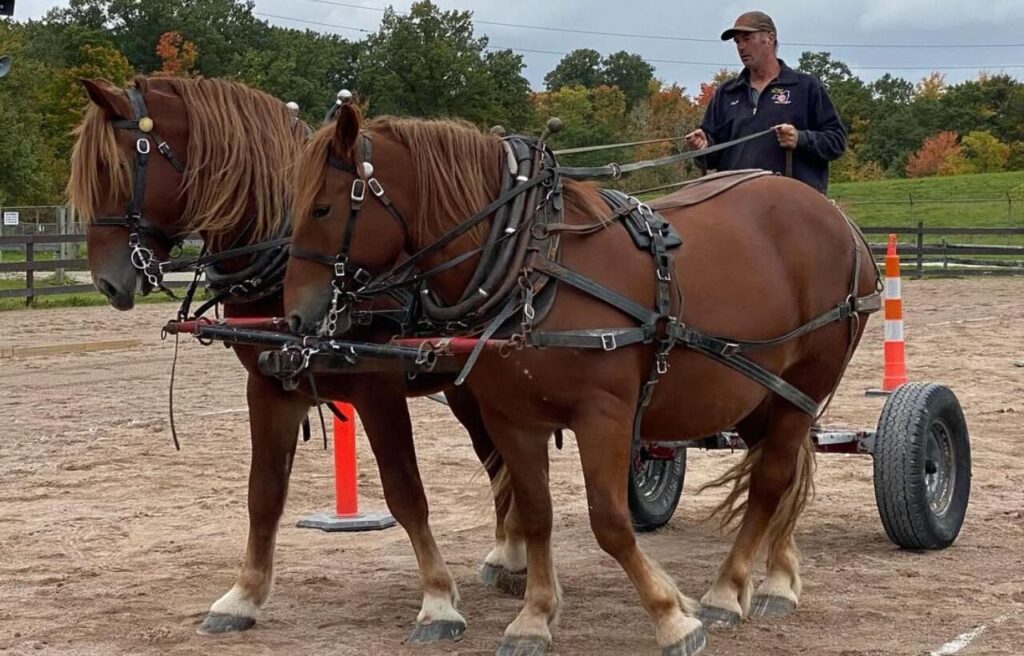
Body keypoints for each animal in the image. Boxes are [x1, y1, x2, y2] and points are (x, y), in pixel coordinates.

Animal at [67, 75, 527, 643]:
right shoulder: (269, 389)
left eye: (112, 168)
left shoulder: (377, 389)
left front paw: (438, 601)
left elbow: (404, 491)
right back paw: (509, 555)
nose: (106, 282)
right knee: (497, 460)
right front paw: (242, 596)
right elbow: (263, 493)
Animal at [283, 102, 881, 655]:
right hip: (757, 389)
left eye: (322, 207)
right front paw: (534, 616)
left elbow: (610, 521)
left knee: (770, 482)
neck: (532, 264)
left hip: (803, 388)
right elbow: (535, 514)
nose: (295, 318)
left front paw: (671, 615)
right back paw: (778, 578)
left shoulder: (605, 416)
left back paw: (726, 591)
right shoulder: (512, 418)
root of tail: (838, 219)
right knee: (781, 473)